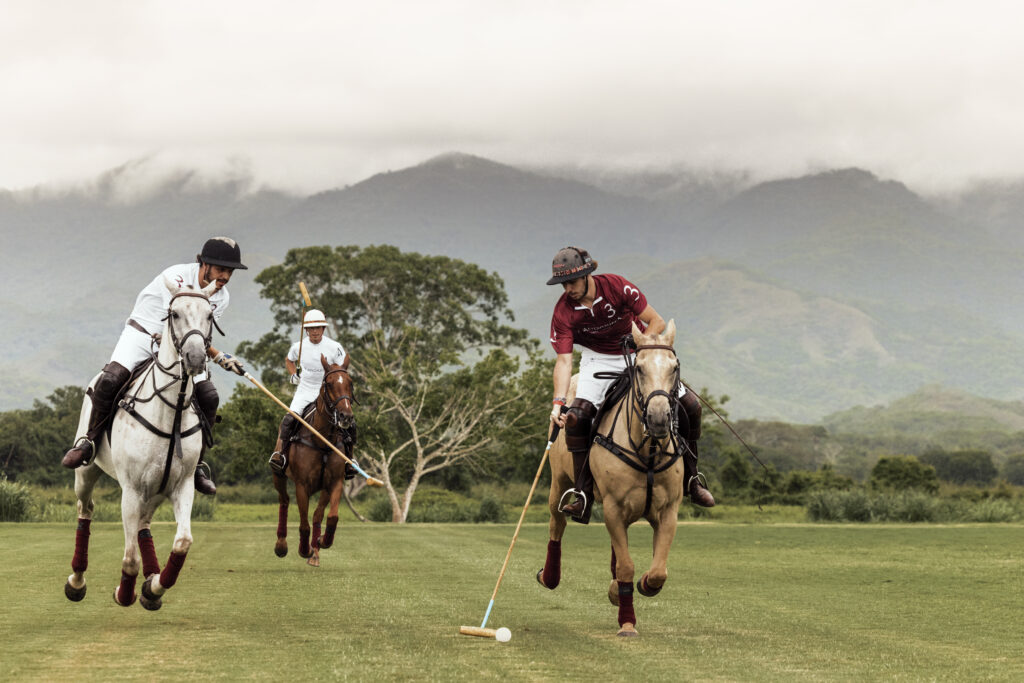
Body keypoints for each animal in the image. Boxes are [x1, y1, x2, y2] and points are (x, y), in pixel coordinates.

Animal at [65, 278, 216, 610]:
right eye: (174, 313)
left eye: (210, 316)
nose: (196, 358)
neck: (171, 411)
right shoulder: (131, 489)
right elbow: (130, 558)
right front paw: (124, 593)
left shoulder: (182, 484)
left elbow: (183, 542)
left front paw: (154, 588)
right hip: (87, 473)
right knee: (86, 508)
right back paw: (76, 581)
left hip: (155, 489)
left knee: (144, 525)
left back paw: (151, 580)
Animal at [272, 356, 356, 569]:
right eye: (329, 384)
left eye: (350, 383)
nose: (346, 416)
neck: (323, 441)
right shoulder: (302, 485)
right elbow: (303, 524)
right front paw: (304, 549)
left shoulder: (335, 482)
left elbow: (331, 517)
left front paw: (322, 542)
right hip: (278, 475)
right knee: (284, 500)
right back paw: (281, 545)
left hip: (323, 488)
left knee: (318, 515)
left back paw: (315, 552)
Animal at [536, 319, 688, 634]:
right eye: (639, 368)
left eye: (674, 366)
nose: (658, 418)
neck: (648, 450)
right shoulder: (613, 508)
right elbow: (627, 565)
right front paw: (627, 622)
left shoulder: (668, 510)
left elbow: (658, 570)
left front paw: (642, 585)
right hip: (559, 480)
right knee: (557, 523)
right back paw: (550, 576)